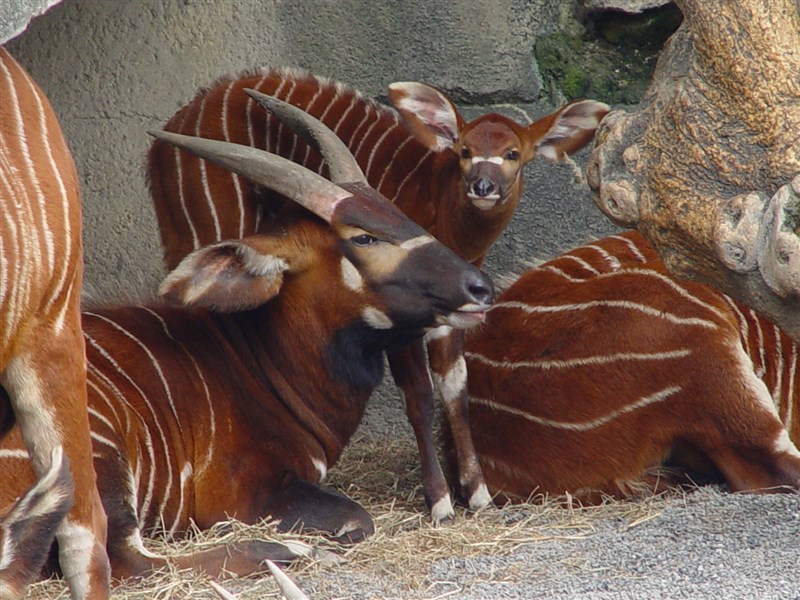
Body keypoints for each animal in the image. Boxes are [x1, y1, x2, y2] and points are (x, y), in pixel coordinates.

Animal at [0, 97, 490, 580]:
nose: (479, 288)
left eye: (397, 212)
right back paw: (297, 550)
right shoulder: (246, 495)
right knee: (125, 560)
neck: (255, 357)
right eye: (364, 237)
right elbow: (358, 519)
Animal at [147, 68, 608, 520]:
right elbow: (420, 396)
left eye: (514, 153)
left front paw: (477, 494)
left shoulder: (446, 319)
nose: (483, 187)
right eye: (464, 150)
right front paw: (440, 502)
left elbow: (456, 390)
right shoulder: (404, 326)